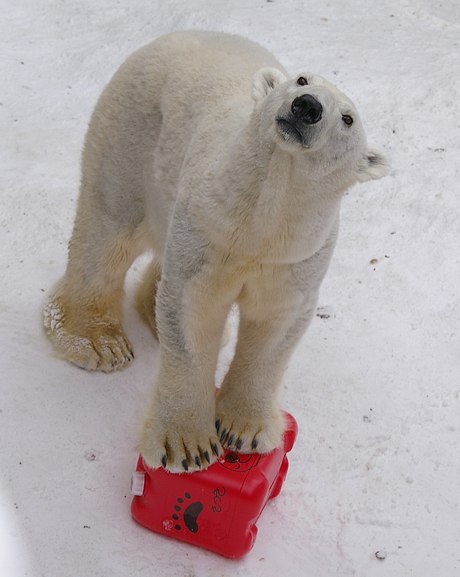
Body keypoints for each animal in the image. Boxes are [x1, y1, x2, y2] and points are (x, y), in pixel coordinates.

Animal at [43, 31, 390, 470]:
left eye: (347, 119)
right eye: (302, 80)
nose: (307, 106)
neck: (258, 223)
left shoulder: (294, 257)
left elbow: (274, 328)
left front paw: (245, 430)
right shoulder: (209, 225)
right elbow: (193, 311)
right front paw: (188, 446)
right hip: (132, 134)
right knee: (108, 229)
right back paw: (99, 343)